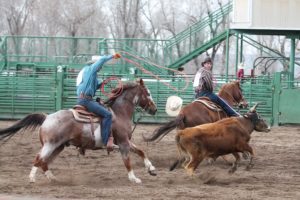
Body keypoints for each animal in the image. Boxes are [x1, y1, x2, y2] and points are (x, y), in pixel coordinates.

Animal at [0, 78, 158, 184]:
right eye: (148, 93)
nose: (154, 109)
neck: (119, 114)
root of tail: (47, 117)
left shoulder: (125, 141)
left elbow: (141, 151)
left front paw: (151, 169)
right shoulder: (123, 142)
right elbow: (127, 160)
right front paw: (134, 178)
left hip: (58, 146)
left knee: (44, 162)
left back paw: (52, 177)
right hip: (50, 145)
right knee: (38, 158)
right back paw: (32, 178)